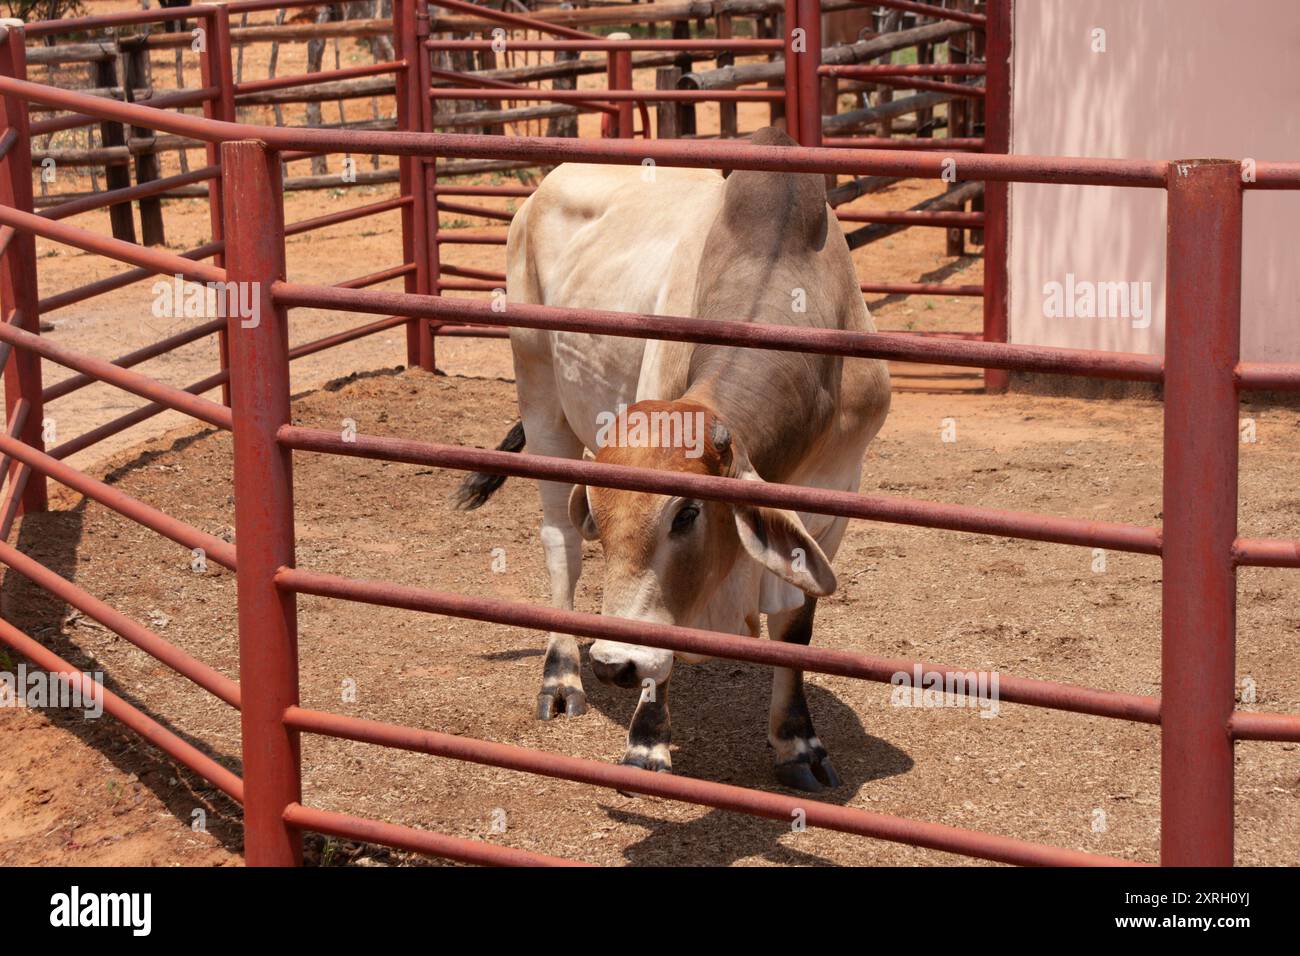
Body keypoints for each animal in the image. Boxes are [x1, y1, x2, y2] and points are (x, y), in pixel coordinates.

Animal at [452, 125, 889, 790]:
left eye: (687, 513)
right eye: (605, 517)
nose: (614, 665)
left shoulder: (835, 496)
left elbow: (795, 622)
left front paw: (798, 744)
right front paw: (648, 738)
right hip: (540, 395)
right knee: (560, 543)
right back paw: (560, 677)